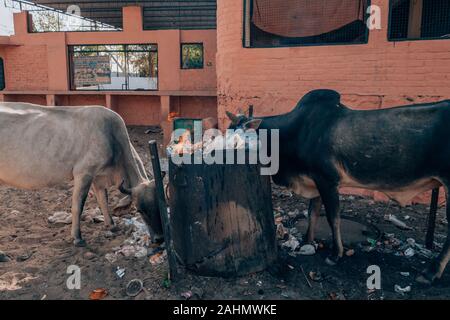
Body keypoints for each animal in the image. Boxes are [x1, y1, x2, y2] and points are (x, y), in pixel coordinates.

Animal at [227, 89, 450, 284]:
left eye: (239, 139)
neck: (294, 132)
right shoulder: (315, 180)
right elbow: (312, 213)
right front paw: (307, 242)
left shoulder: (328, 181)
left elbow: (333, 218)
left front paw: (336, 254)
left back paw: (430, 273)